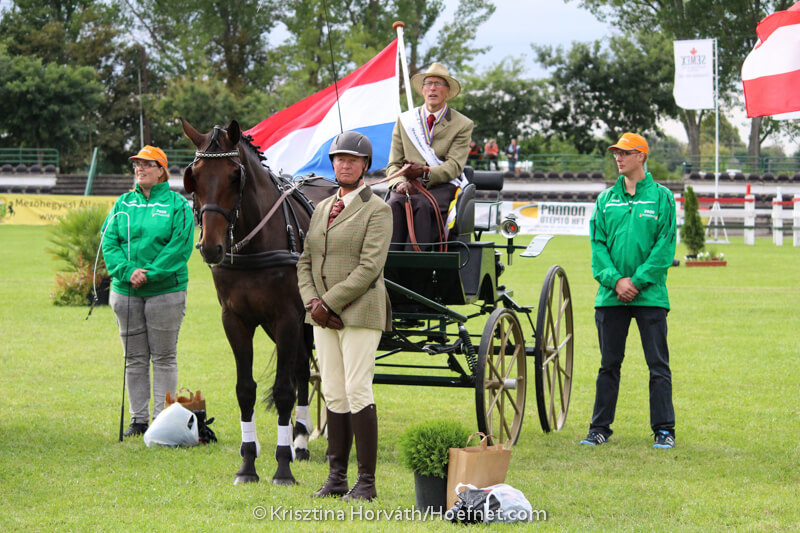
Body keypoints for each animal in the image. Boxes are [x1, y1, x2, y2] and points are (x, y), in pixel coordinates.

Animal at [181, 117, 336, 485]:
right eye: (194, 175)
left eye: (234, 176)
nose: (211, 247)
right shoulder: (236, 320)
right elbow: (245, 390)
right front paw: (248, 463)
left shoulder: (288, 318)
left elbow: (282, 390)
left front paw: (282, 469)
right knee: (301, 370)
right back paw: (300, 440)